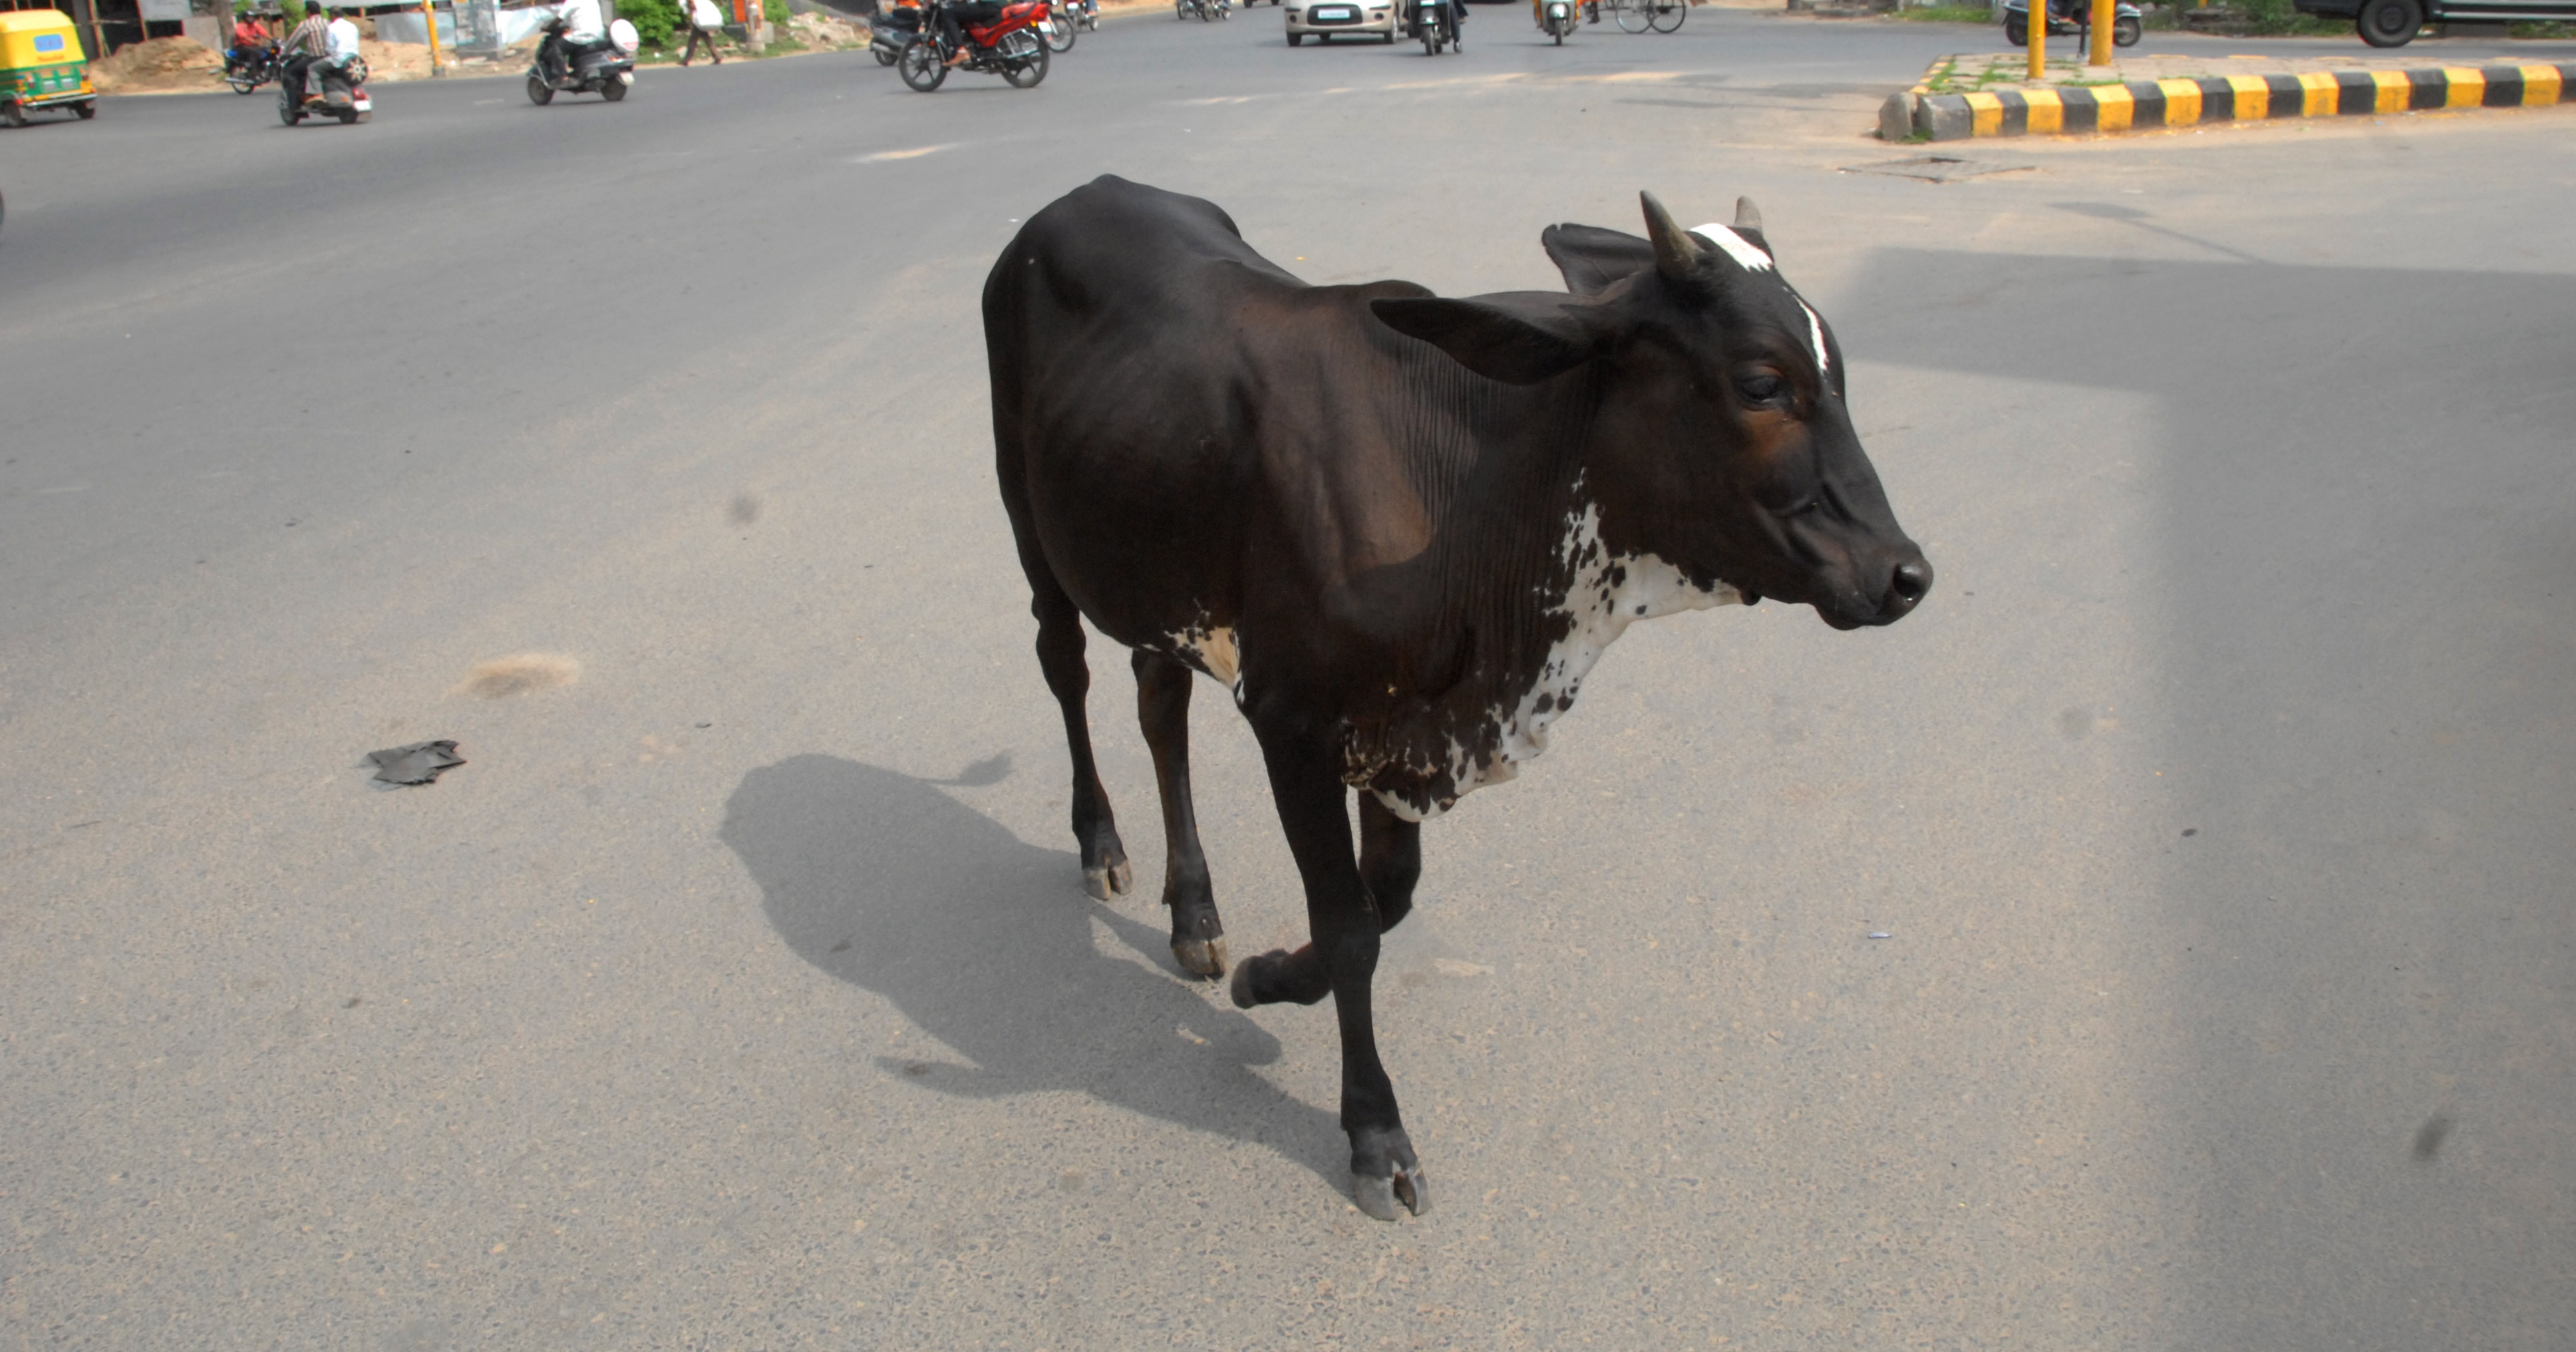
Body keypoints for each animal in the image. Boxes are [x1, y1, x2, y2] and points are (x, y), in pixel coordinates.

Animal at [983, 176, 1929, 1221]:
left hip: (1151, 571)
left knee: (1159, 709)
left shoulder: (1397, 732)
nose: (1904, 574)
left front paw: (1269, 978)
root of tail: (1082, 194)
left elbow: (1387, 897)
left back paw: (1195, 918)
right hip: (1029, 523)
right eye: (1762, 384)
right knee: (1064, 665)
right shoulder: (1290, 719)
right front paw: (1373, 1132)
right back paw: (1101, 845)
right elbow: (1350, 927)